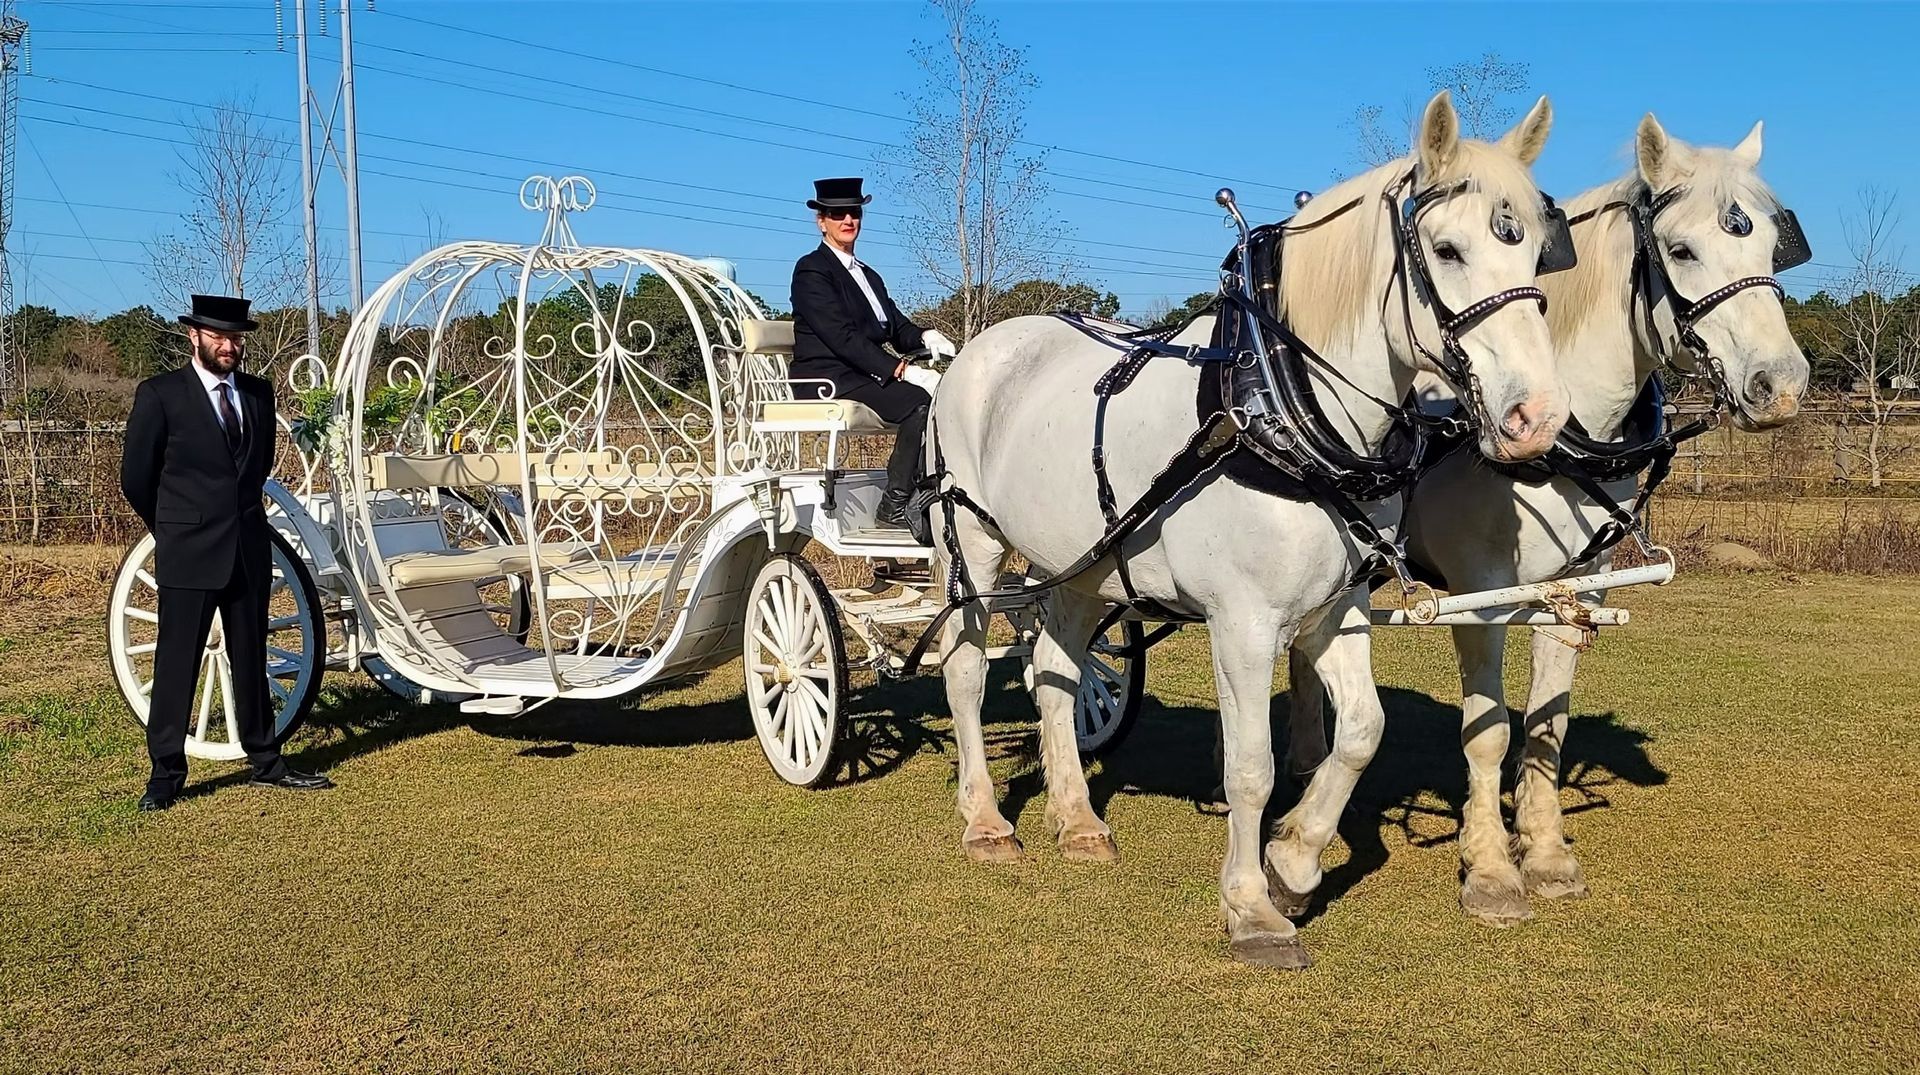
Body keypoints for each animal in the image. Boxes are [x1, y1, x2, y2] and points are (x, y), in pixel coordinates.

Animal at [928, 91, 1570, 969]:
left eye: (1537, 249)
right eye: (1446, 248)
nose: (1537, 417)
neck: (1280, 400)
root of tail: (975, 351)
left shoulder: (1338, 608)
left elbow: (1361, 730)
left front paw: (1293, 862)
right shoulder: (1242, 621)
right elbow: (1252, 767)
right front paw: (1252, 908)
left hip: (1083, 565)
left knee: (1056, 672)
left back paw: (1079, 820)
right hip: (972, 544)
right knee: (964, 670)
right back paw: (986, 820)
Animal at [1281, 115, 1811, 926]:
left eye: (1767, 248)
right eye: (1682, 250)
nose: (1780, 385)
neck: (1566, 442)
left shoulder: (1576, 589)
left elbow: (1546, 727)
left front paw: (1549, 855)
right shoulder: (1482, 596)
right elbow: (1489, 731)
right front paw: (1492, 870)